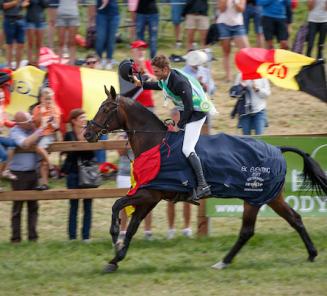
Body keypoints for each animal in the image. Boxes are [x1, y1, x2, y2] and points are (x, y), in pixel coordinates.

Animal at [84, 84, 327, 272]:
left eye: (106, 108)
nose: (88, 134)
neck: (154, 143)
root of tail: (277, 149)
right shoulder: (150, 197)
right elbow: (133, 225)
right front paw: (115, 259)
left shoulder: (148, 194)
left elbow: (117, 205)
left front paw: (115, 237)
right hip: (271, 198)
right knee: (293, 219)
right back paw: (311, 253)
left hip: (255, 198)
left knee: (248, 230)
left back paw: (224, 262)